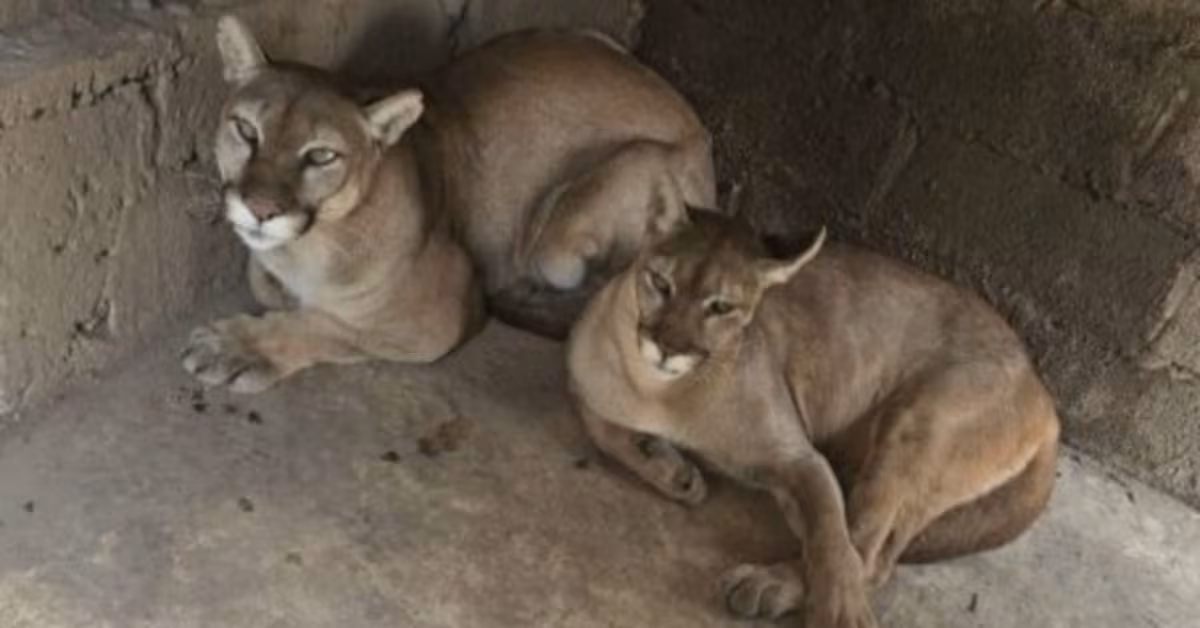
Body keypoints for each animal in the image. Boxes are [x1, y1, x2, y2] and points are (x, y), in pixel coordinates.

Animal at [182, 16, 715, 392]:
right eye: (246, 130)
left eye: (320, 156)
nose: (260, 208)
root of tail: (700, 131)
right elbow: (266, 283)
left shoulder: (440, 315)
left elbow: (328, 325)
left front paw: (240, 347)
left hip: (584, 214)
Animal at [566, 208, 1060, 627]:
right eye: (661, 283)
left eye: (721, 307)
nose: (668, 347)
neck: (658, 392)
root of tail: (1044, 395)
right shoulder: (588, 378)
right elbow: (596, 422)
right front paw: (668, 468)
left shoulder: (799, 458)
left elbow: (830, 538)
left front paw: (841, 613)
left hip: (922, 419)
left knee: (867, 552)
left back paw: (767, 585)